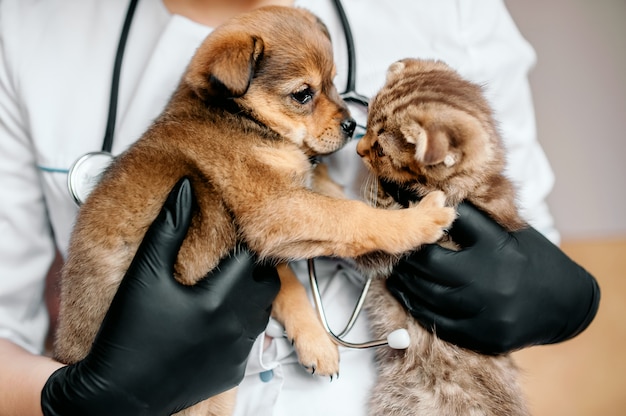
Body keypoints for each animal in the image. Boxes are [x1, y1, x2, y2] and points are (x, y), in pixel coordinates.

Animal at [53, 6, 454, 416]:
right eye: (303, 94)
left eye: (333, 82)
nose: (351, 124)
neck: (240, 119)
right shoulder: (275, 209)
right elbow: (351, 216)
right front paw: (419, 219)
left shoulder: (266, 241)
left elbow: (293, 282)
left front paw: (314, 341)